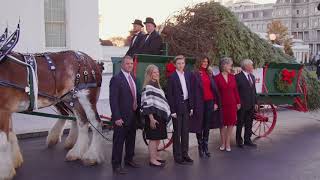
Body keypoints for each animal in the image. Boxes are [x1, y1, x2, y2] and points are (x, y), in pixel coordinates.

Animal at [0, 50, 107, 180]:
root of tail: (91, 60)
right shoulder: (8, 110)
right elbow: (10, 136)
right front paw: (14, 162)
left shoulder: (2, 110)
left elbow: (2, 143)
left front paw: (4, 172)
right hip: (72, 98)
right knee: (82, 122)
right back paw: (75, 152)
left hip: (86, 97)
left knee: (95, 122)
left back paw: (91, 156)